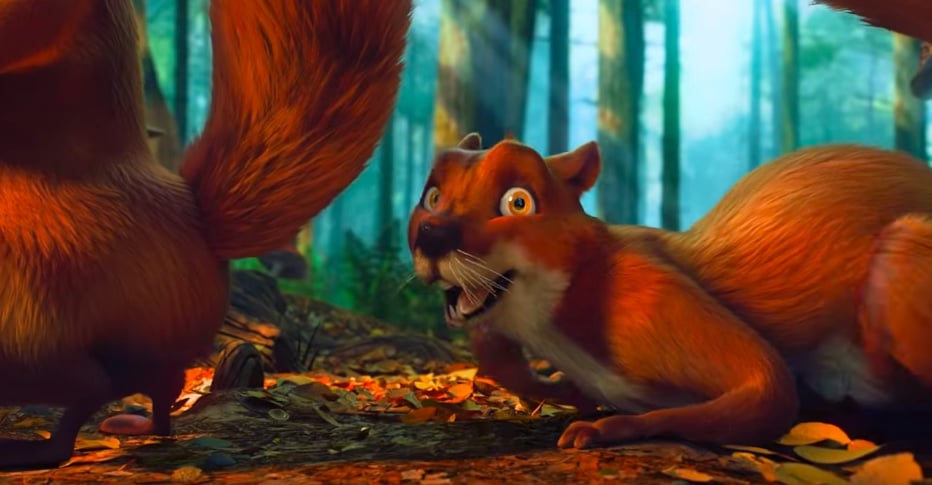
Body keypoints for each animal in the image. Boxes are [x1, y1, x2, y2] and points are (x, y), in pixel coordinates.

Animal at [0, 0, 410, 469]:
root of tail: (198, 226)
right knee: (159, 388)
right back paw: (136, 424)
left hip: (34, 329)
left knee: (90, 393)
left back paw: (31, 449)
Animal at [407, 133, 932, 448]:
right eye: (432, 195)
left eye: (518, 202)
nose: (430, 234)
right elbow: (504, 361)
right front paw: (568, 394)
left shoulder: (649, 298)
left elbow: (772, 388)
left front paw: (607, 428)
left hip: (901, 249)